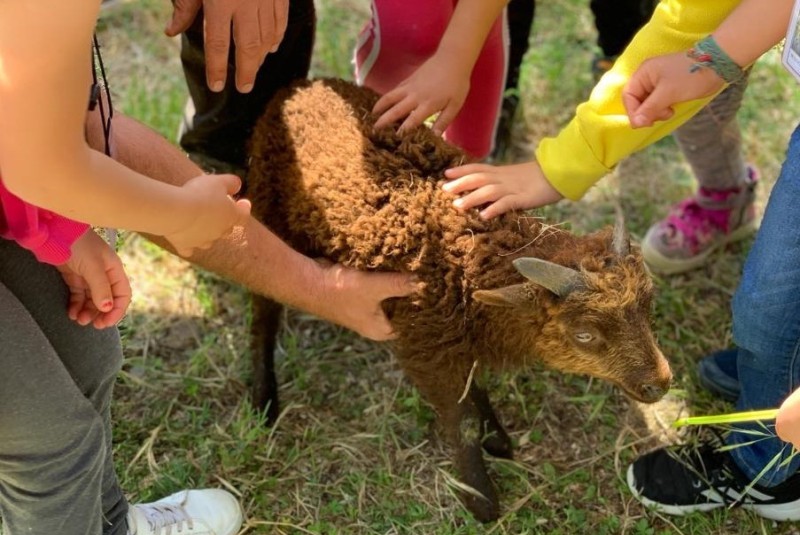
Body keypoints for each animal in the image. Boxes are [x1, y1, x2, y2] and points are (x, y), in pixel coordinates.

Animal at [247, 79, 672, 524]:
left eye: (648, 307)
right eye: (584, 334)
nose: (660, 383)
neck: (470, 252)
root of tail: (299, 86)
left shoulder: (455, 339)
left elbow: (472, 386)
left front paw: (496, 436)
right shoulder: (425, 344)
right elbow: (462, 419)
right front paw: (479, 495)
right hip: (268, 207)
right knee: (265, 306)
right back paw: (263, 396)